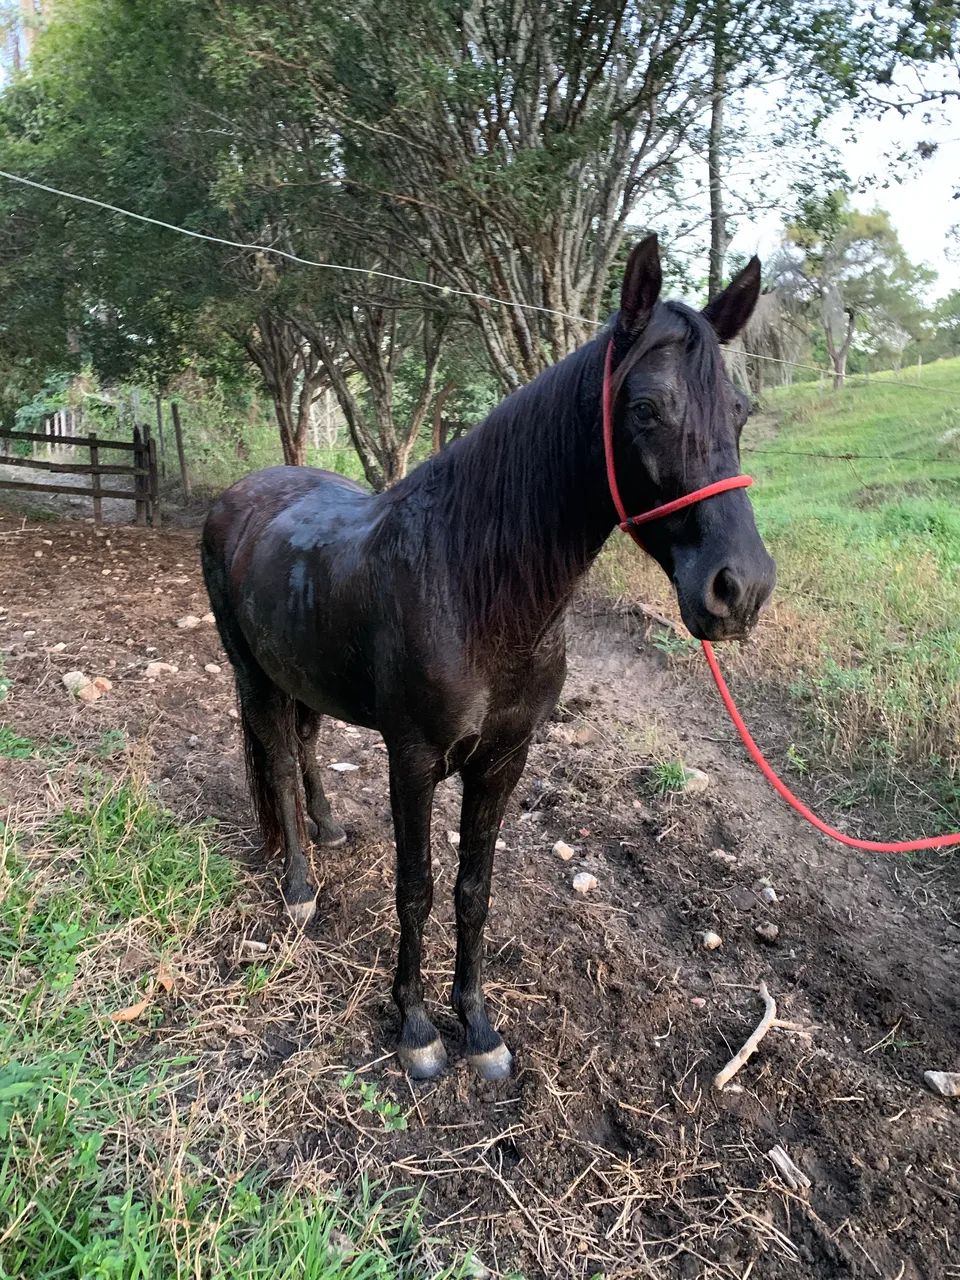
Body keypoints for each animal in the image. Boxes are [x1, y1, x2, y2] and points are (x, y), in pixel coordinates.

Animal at [201, 235, 776, 1082]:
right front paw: (415, 1028)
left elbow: (475, 888)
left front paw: (477, 1026)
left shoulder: (505, 759)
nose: (742, 588)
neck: (472, 587)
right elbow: (416, 887)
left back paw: (330, 831)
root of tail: (241, 494)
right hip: (254, 675)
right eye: (645, 408)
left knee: (304, 745)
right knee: (274, 761)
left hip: (300, 672)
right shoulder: (411, 759)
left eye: (740, 411)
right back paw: (300, 887)